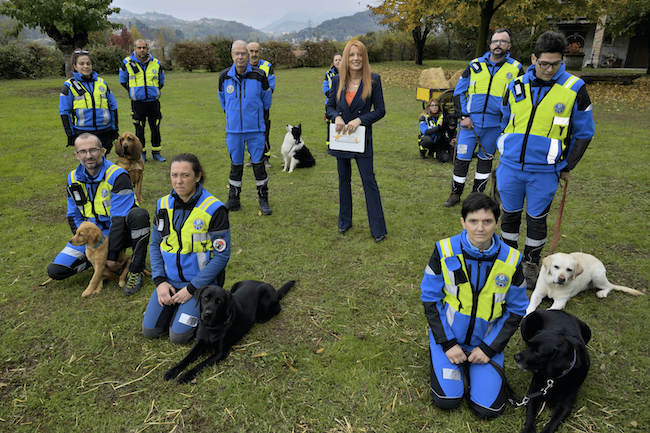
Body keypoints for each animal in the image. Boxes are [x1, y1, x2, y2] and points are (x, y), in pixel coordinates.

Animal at [163, 278, 294, 384]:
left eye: (219, 301)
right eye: (205, 298)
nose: (207, 314)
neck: (212, 327)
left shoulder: (220, 353)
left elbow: (200, 365)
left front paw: (186, 375)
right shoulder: (199, 344)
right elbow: (186, 358)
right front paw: (172, 371)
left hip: (266, 299)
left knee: (277, 309)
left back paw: (262, 318)